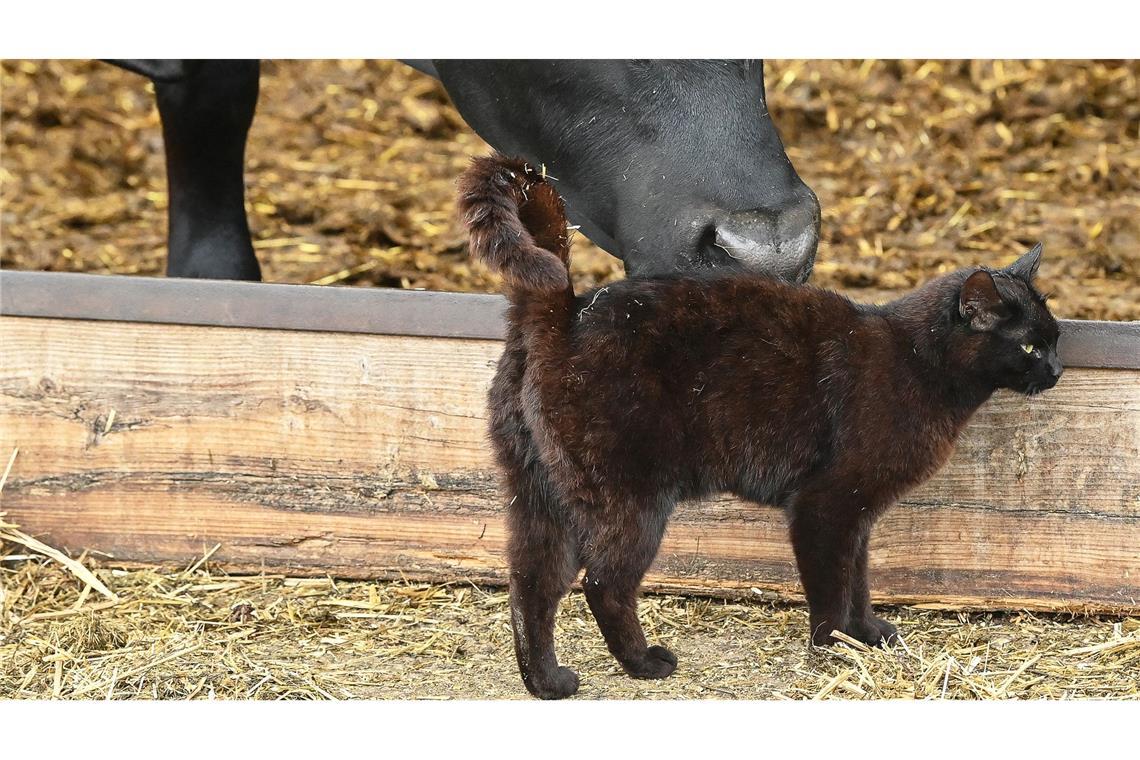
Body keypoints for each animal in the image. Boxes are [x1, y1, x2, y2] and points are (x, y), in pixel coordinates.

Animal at [458, 154, 1062, 701]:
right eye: (1031, 347)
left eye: (1055, 339)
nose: (1058, 370)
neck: (917, 360)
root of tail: (564, 317)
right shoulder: (825, 504)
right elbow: (831, 584)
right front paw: (833, 645)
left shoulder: (859, 510)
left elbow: (859, 577)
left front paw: (866, 633)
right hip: (630, 499)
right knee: (603, 583)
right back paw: (644, 663)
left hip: (538, 494)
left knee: (532, 584)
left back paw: (547, 683)